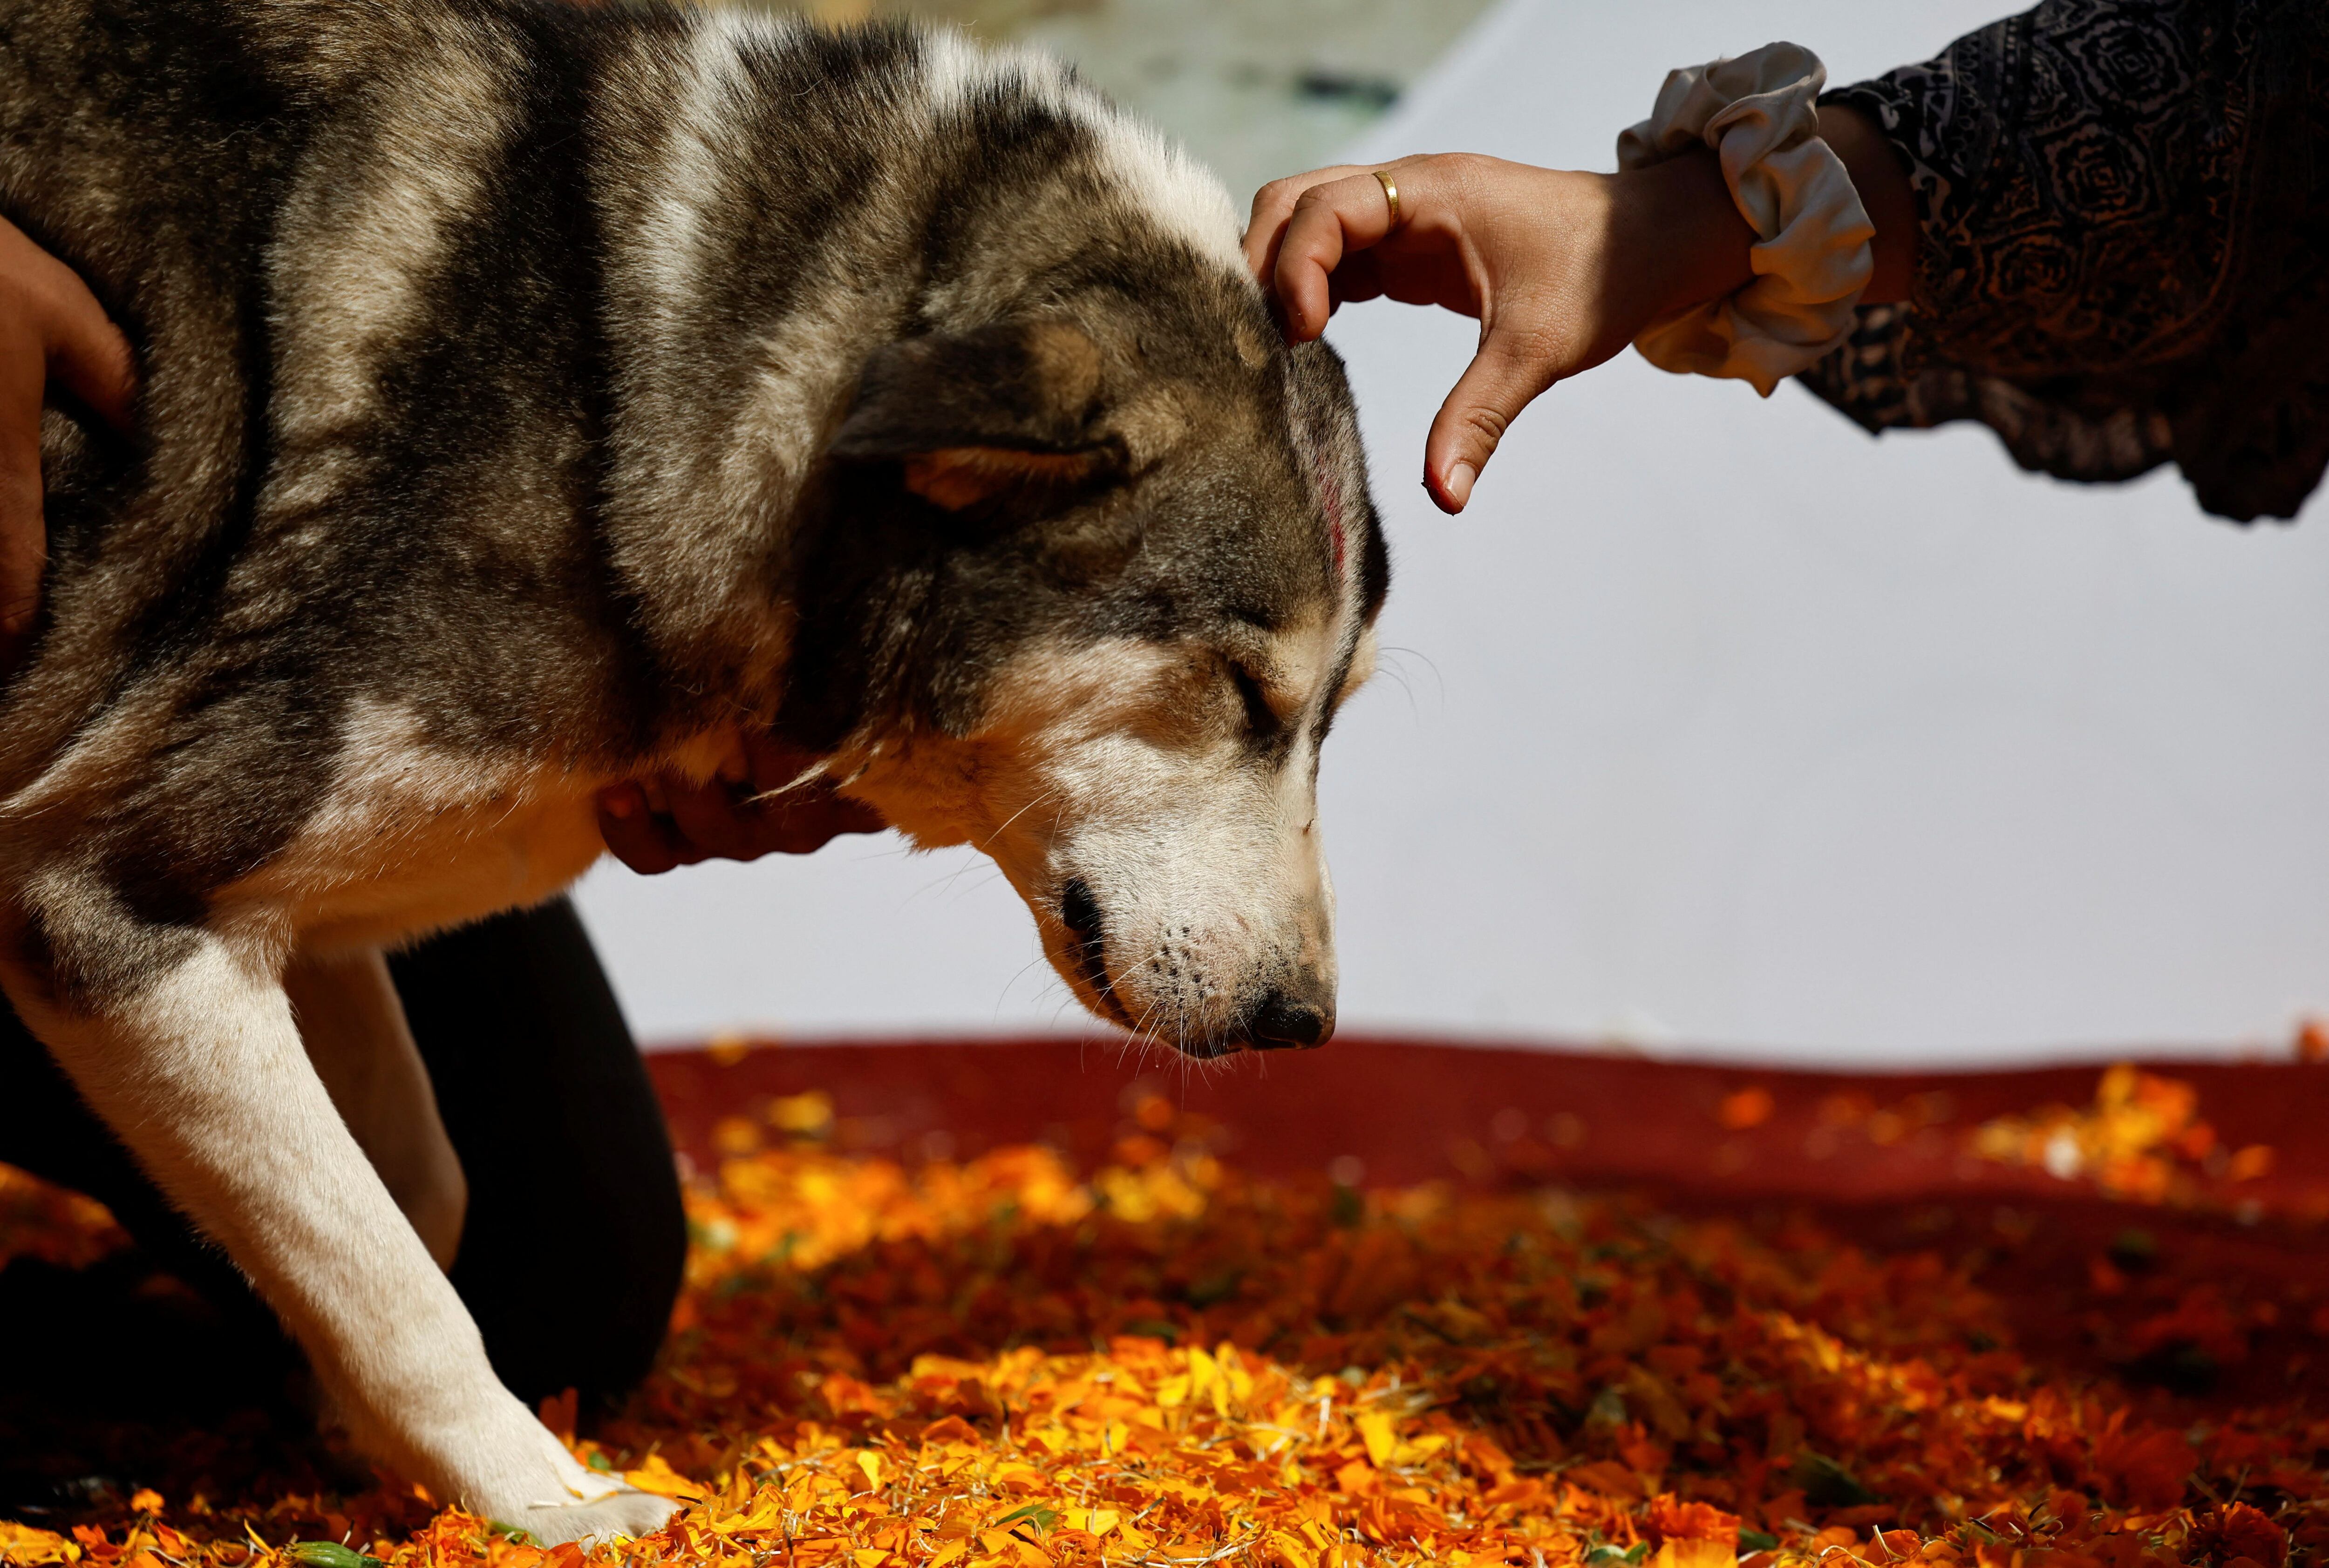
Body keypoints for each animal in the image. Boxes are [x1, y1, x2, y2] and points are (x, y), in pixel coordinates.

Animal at [0, 0, 1379, 1537]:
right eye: (1243, 690)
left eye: (1335, 708)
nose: (1302, 1023)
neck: (627, 380)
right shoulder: (108, 907)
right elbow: (392, 1276)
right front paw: (549, 1506)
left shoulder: (290, 922)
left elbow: (413, 1199)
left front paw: (347, 1428)